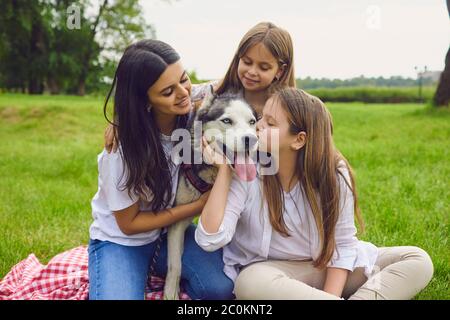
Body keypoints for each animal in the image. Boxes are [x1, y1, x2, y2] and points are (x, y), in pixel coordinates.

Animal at [163, 86, 258, 298]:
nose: (251, 139)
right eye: (227, 121)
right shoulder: (177, 221)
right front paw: (170, 293)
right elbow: (175, 265)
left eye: (252, 122)